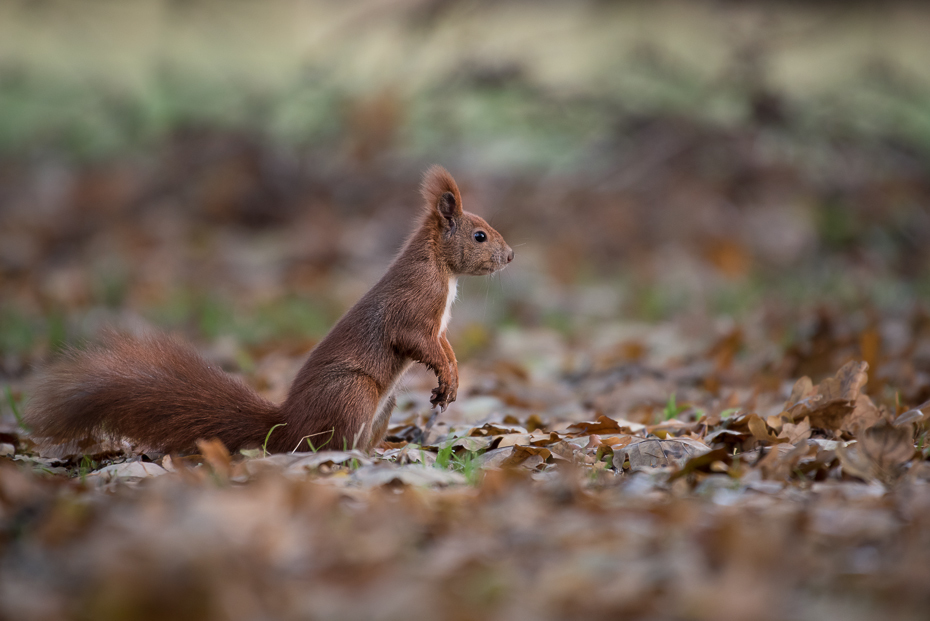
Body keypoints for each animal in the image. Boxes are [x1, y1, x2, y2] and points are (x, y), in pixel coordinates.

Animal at [25, 167, 512, 452]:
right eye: (480, 235)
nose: (510, 256)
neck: (440, 268)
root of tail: (288, 426)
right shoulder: (413, 306)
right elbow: (417, 341)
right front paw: (446, 377)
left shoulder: (437, 325)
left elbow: (443, 344)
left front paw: (453, 375)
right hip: (352, 392)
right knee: (329, 444)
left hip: (384, 404)